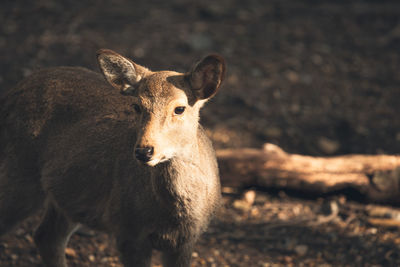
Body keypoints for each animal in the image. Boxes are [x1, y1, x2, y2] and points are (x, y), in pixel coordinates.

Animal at [0, 48, 225, 267]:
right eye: (137, 106)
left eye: (179, 108)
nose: (144, 151)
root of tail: (10, 94)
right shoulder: (127, 231)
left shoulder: (186, 242)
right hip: (19, 171)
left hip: (68, 195)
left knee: (47, 236)